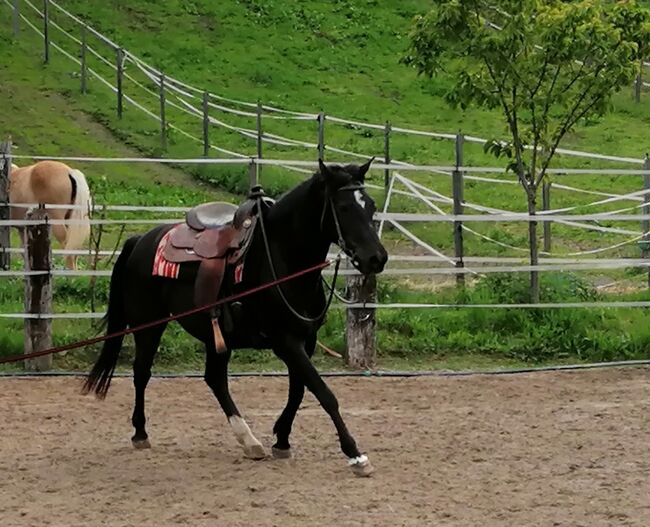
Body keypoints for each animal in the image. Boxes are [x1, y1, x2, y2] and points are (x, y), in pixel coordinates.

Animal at [80, 160, 384, 478]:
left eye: (371, 205)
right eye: (344, 207)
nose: (377, 258)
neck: (281, 258)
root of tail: (141, 240)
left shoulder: (306, 341)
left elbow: (299, 391)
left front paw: (282, 439)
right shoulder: (285, 342)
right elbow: (324, 393)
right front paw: (355, 454)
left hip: (214, 334)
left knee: (214, 379)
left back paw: (249, 441)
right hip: (149, 325)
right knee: (142, 373)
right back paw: (140, 433)